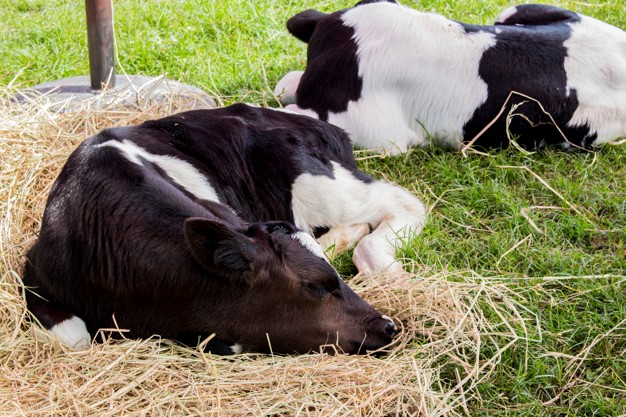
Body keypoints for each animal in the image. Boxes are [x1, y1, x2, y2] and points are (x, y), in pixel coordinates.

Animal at [24, 102, 424, 352]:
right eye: (316, 286)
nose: (387, 325)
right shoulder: (33, 272)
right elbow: (75, 338)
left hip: (315, 184)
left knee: (403, 202)